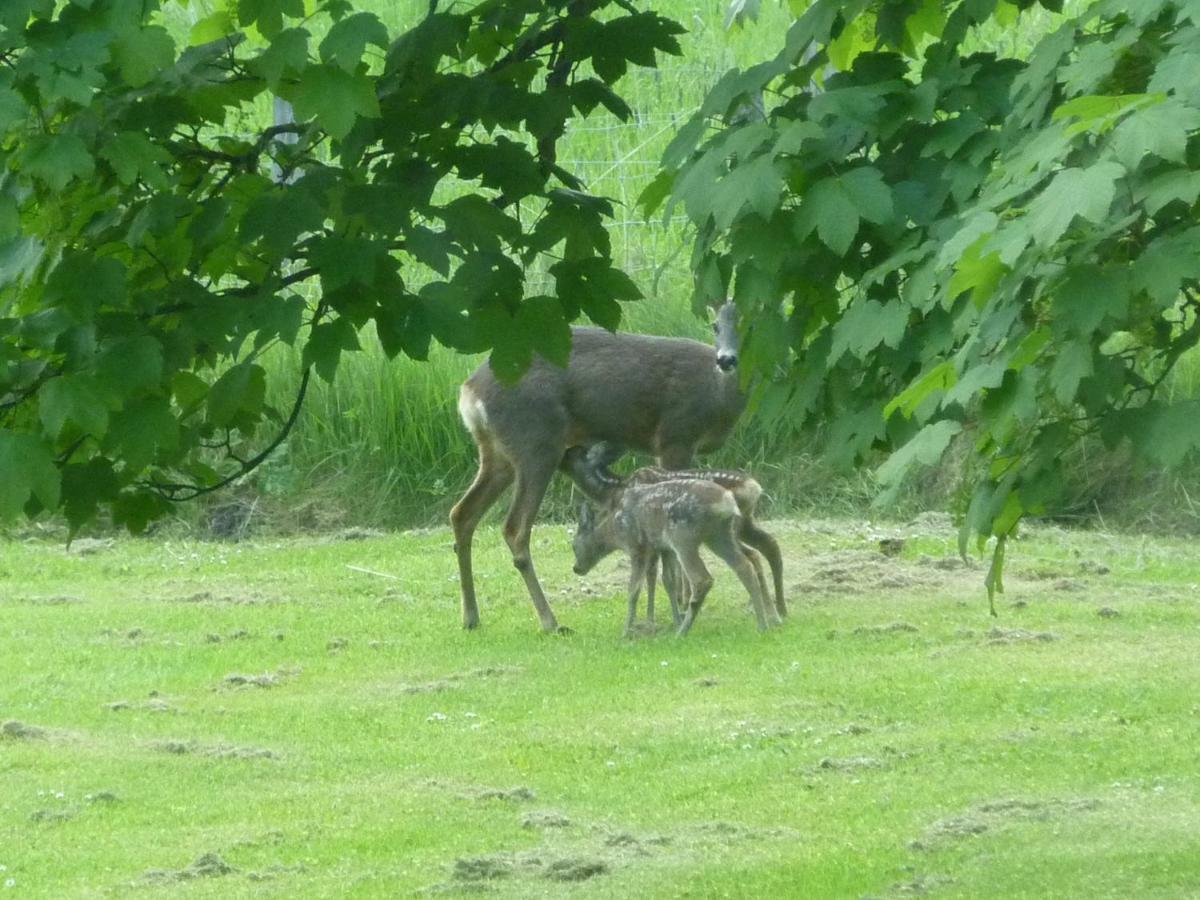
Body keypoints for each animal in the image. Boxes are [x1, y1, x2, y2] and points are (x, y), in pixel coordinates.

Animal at [453, 303, 744, 633]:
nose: (726, 359)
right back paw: (550, 621)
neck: (717, 394)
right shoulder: (676, 436)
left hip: (497, 454)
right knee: (515, 529)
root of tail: (469, 392)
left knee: (462, 514)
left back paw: (471, 617)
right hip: (537, 442)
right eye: (714, 325)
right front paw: (682, 602)